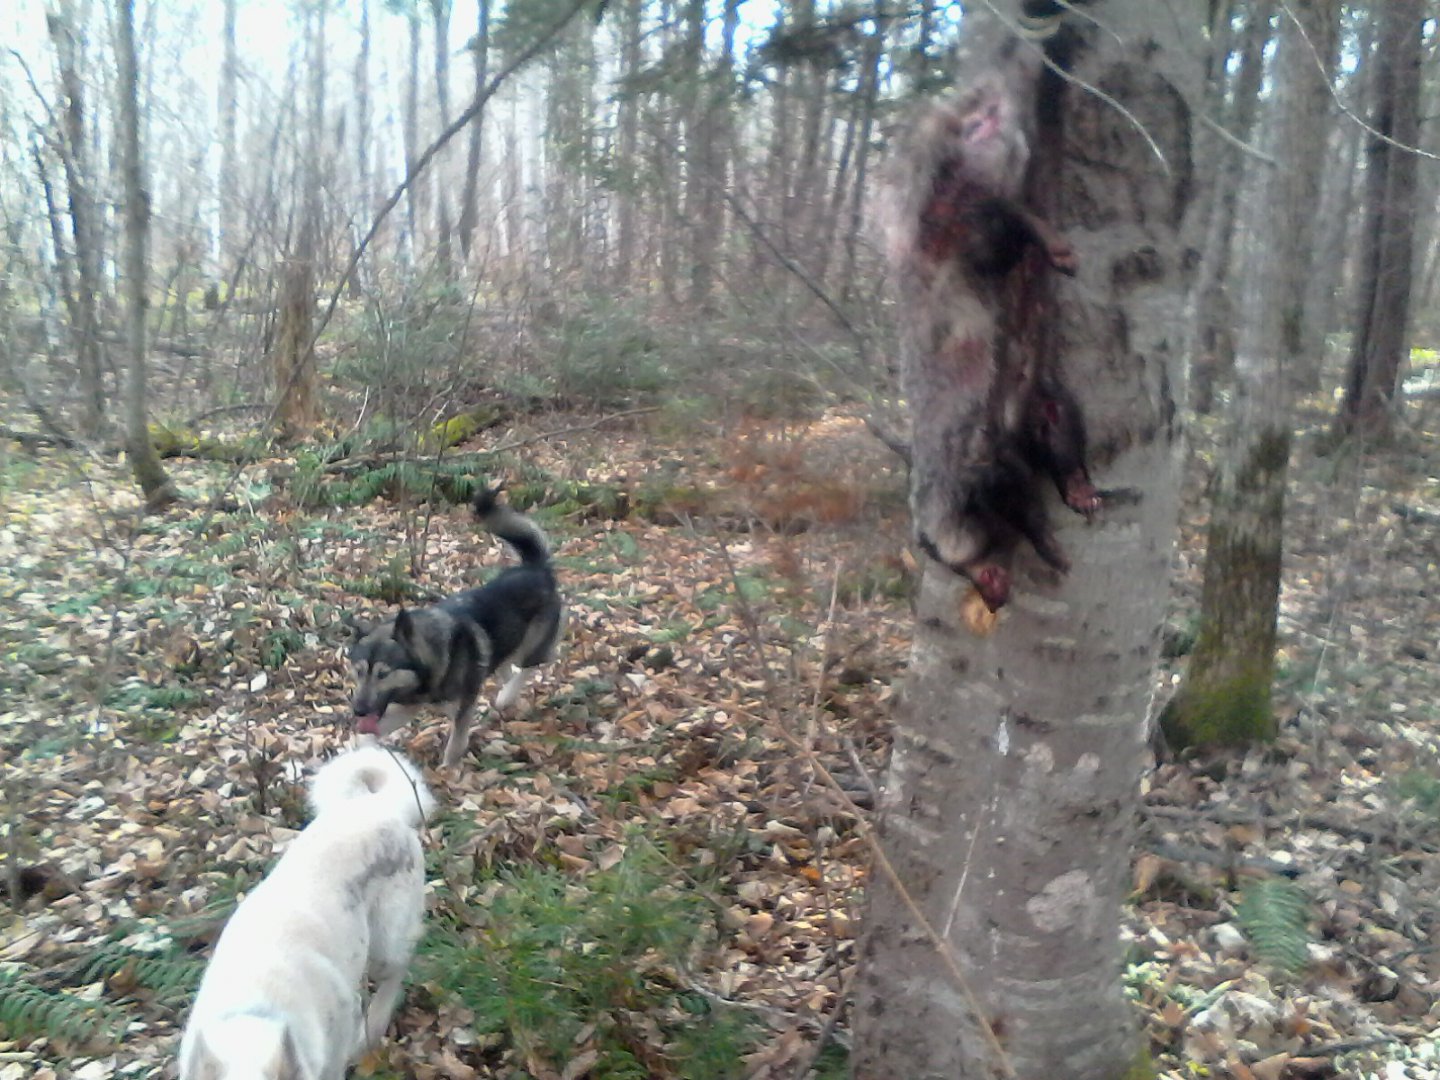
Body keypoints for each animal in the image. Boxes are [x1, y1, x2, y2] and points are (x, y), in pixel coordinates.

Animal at [178, 746, 436, 1079]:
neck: (256, 1012)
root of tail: (376, 804)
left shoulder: (339, 1025)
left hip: (385, 946)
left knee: (398, 970)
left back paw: (371, 1031)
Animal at [348, 485, 562, 767]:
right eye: (359, 671)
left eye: (383, 674)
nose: (358, 710)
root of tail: (536, 568)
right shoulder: (406, 706)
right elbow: (368, 737)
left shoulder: (461, 710)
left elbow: (454, 746)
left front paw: (447, 771)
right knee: (506, 666)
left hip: (532, 645)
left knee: (532, 665)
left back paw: (507, 695)